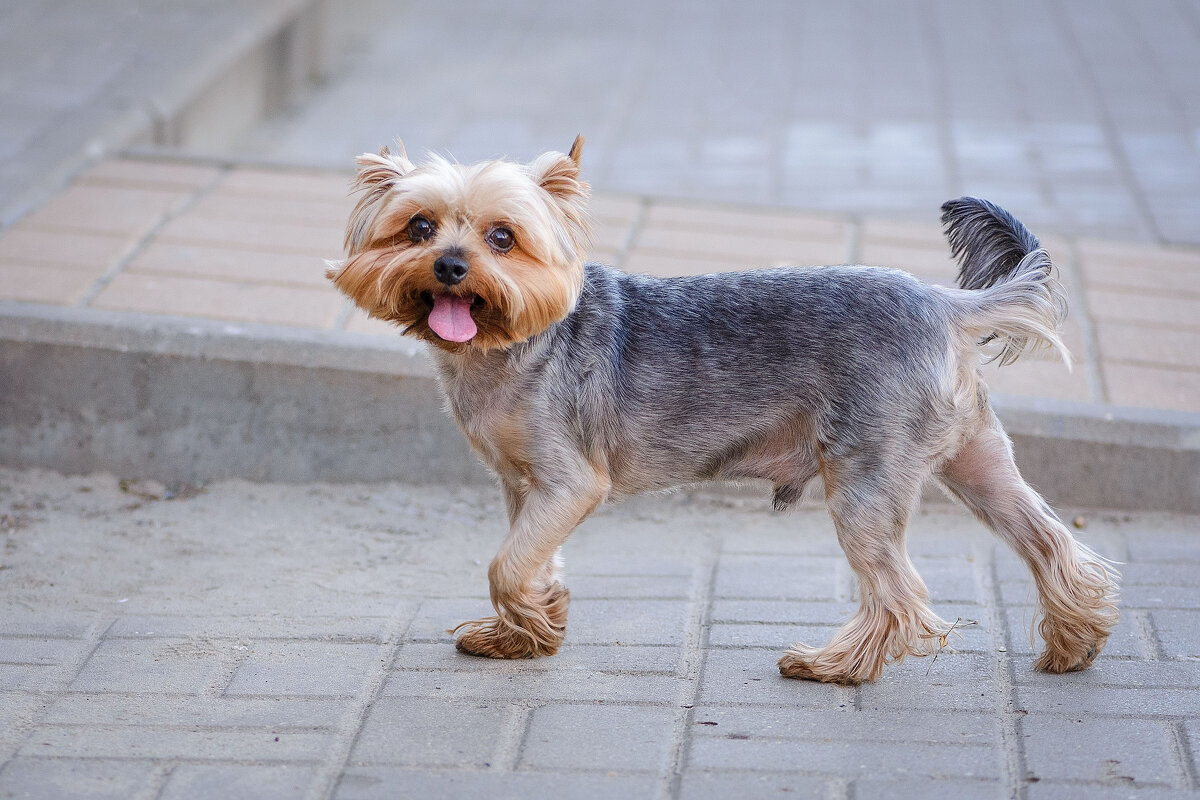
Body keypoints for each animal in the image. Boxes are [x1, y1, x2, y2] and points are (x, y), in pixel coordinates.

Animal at [326, 136, 1113, 681]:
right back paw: (1073, 642)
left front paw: (528, 623)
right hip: (975, 458)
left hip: (866, 477)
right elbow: (534, 560)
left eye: (502, 237)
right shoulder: (523, 488)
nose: (450, 266)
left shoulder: (568, 483)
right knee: (1050, 542)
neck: (513, 341)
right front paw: (529, 631)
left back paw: (835, 666)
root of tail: (945, 305)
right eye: (418, 228)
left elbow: (507, 566)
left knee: (898, 592)